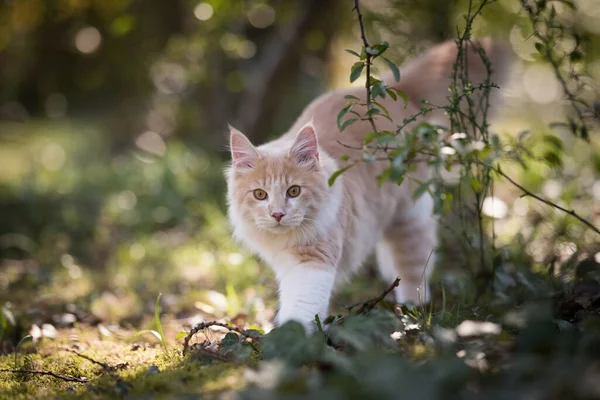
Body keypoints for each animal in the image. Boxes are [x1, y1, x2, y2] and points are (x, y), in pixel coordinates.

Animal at [225, 38, 510, 332]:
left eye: (294, 191)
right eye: (260, 194)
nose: (278, 214)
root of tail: (390, 88)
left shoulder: (312, 261)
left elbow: (301, 307)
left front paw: (291, 335)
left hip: (410, 219)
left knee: (415, 271)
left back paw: (411, 313)